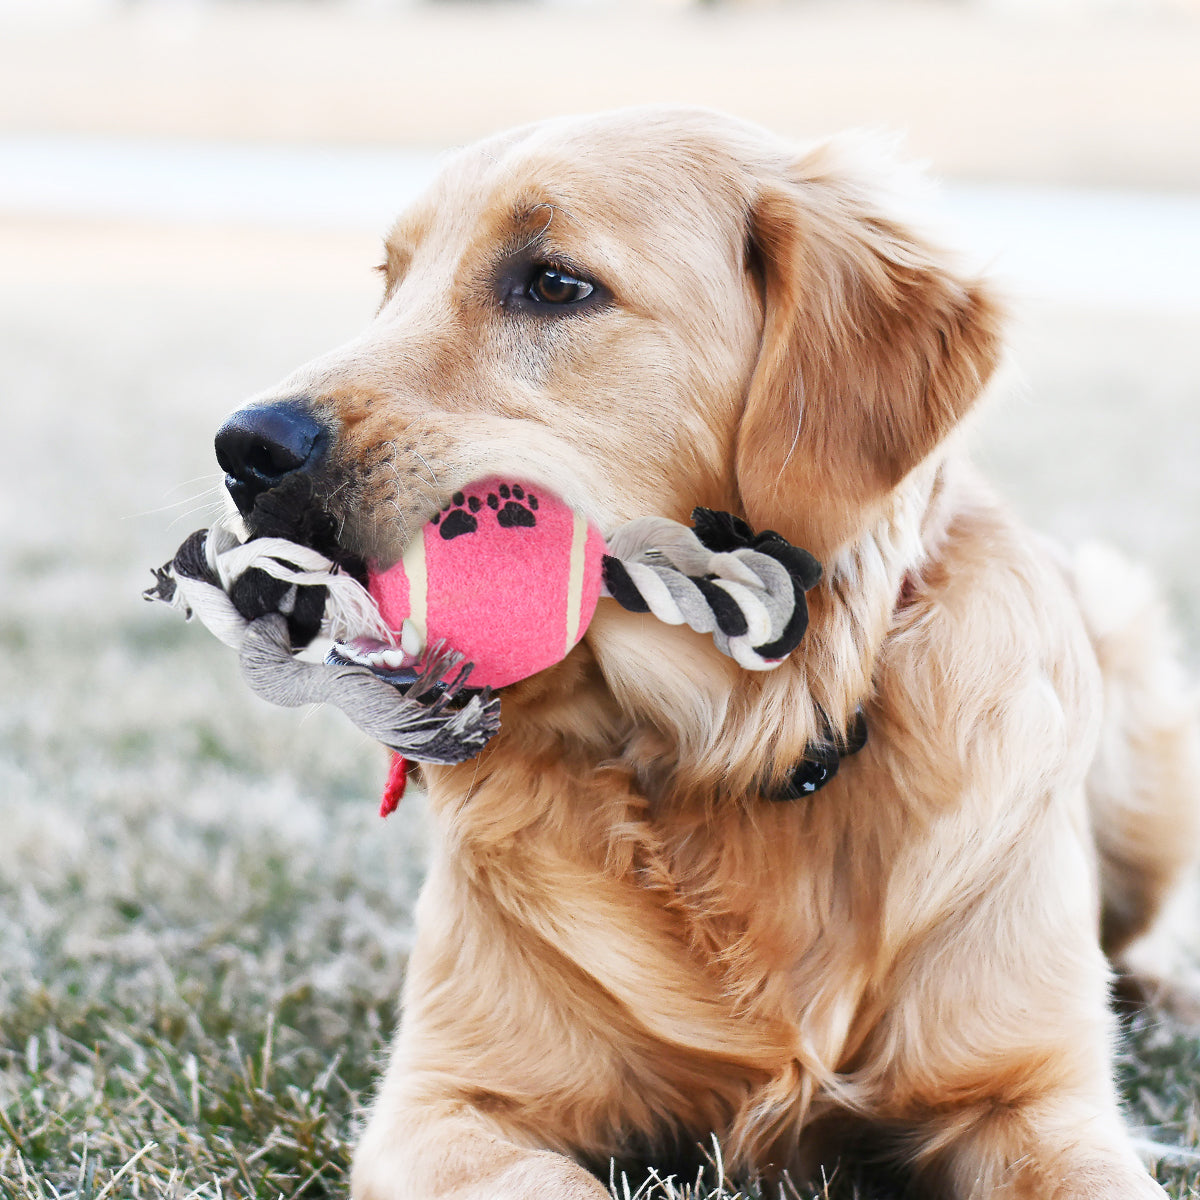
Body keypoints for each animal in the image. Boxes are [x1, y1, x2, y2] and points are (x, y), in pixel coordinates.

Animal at [213, 108, 1200, 1195]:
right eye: (391, 282)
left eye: (554, 283)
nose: (243, 446)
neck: (732, 756)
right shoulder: (443, 1102)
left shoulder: (1031, 1096)